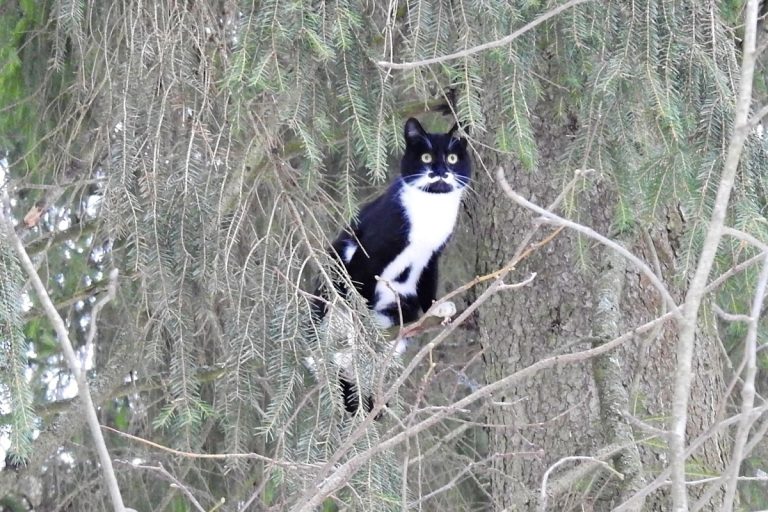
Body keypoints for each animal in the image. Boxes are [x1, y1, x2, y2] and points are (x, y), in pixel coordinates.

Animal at [310, 119, 468, 416]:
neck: (431, 211)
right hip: (335, 269)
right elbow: (361, 288)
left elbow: (428, 284)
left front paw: (438, 308)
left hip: (399, 304)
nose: (440, 172)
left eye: (452, 159)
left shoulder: (432, 256)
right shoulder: (370, 248)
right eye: (426, 157)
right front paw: (360, 329)